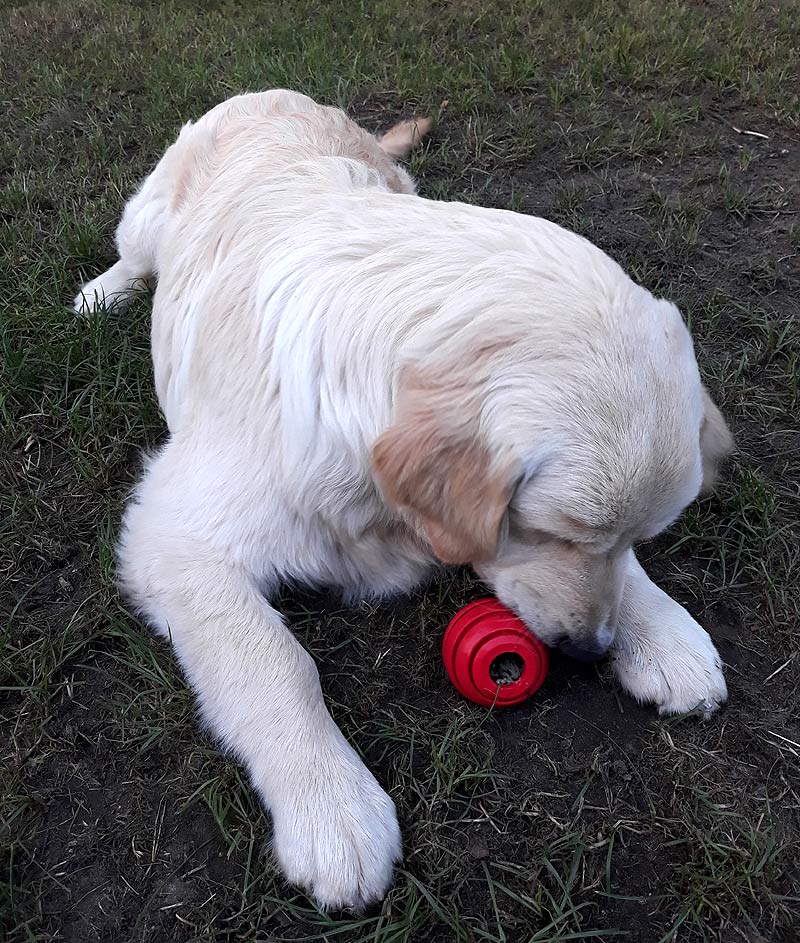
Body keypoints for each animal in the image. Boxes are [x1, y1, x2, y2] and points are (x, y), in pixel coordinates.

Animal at [75, 92, 732, 912]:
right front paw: (334, 809)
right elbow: (275, 661)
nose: (589, 649)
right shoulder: (174, 533)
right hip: (146, 212)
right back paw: (101, 294)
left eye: (628, 537)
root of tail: (274, 92)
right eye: (551, 531)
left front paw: (664, 633)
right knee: (134, 256)